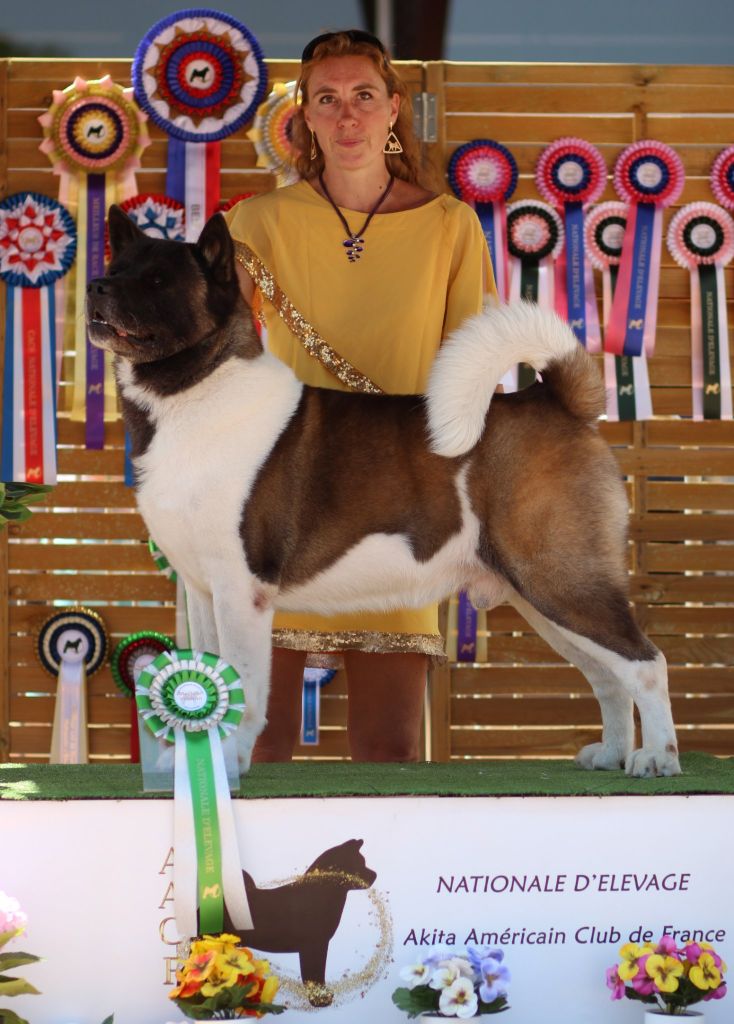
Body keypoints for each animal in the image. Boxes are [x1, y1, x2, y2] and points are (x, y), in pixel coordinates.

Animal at [85, 207, 679, 778]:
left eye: (157, 280)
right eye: (117, 267)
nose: (95, 286)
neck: (196, 390)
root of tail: (555, 402)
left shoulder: (241, 588)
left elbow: (245, 687)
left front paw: (228, 762)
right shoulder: (204, 591)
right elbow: (213, 675)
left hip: (559, 577)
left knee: (645, 663)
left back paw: (656, 758)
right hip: (542, 594)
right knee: (607, 675)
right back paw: (613, 754)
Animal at [225, 839, 374, 1007]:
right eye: (360, 863)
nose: (375, 875)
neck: (324, 891)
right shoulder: (314, 946)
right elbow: (314, 975)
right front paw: (320, 999)